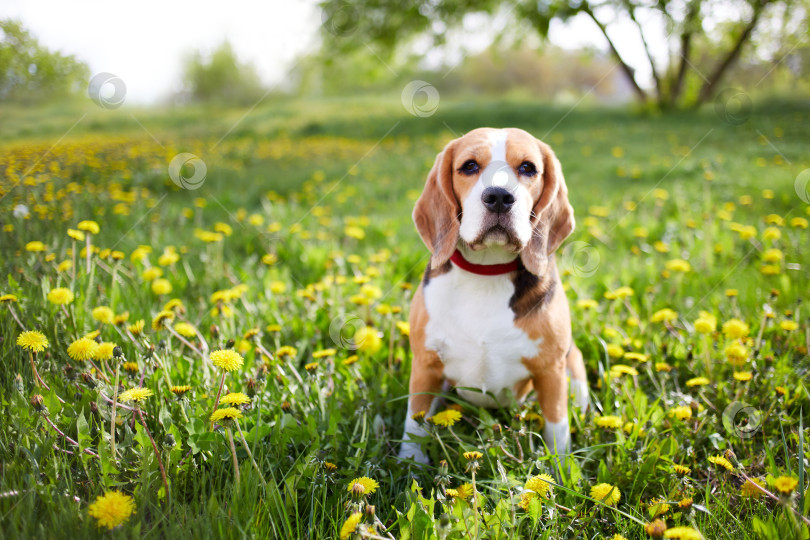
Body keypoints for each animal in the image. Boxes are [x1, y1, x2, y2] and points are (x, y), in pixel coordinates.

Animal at [398, 127, 588, 464]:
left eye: (528, 168)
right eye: (469, 166)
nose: (499, 197)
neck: (487, 272)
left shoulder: (551, 371)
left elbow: (557, 427)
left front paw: (561, 468)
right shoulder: (425, 364)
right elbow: (414, 423)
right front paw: (410, 466)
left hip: (574, 367)